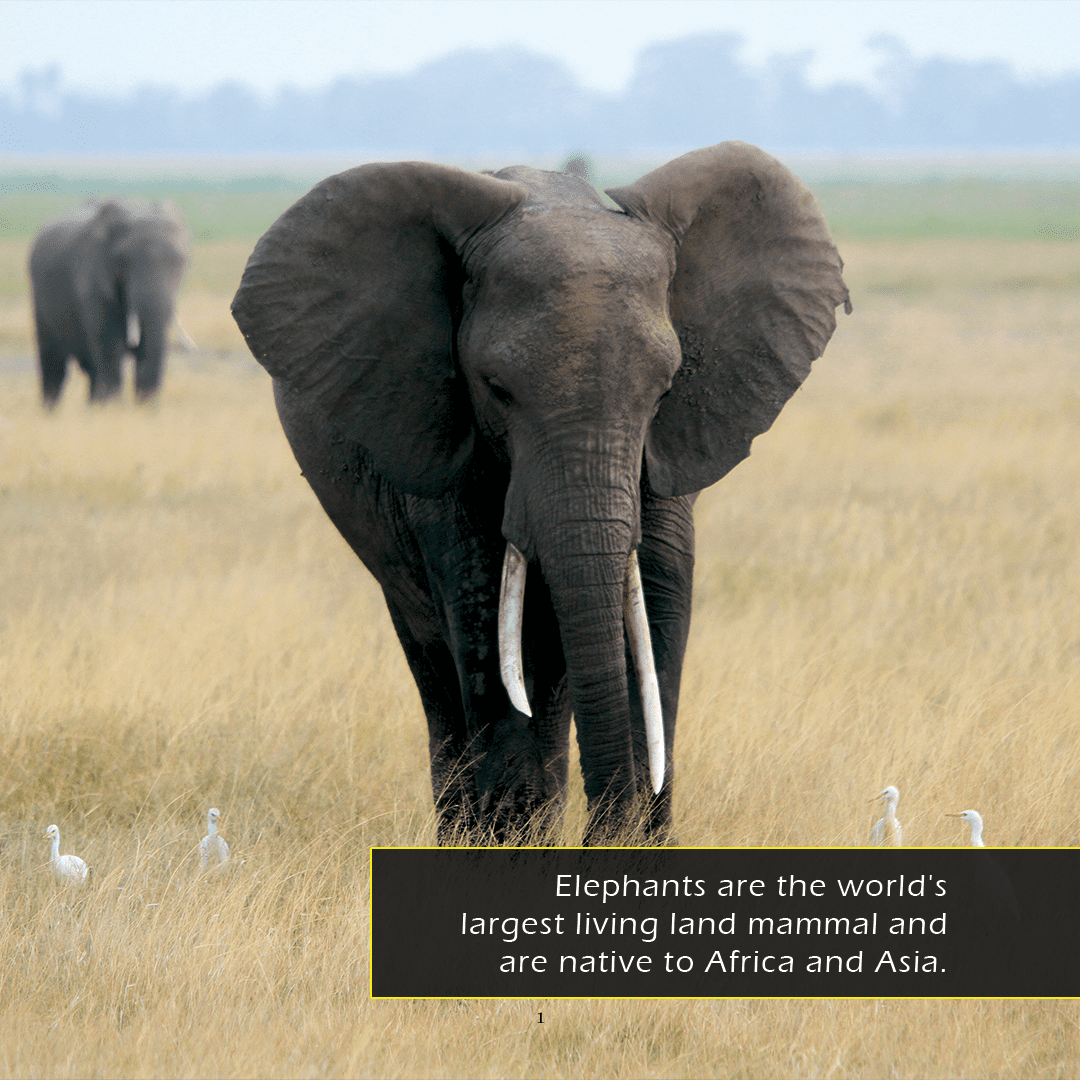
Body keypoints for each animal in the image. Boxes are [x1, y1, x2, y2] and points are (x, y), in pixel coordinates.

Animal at [28, 199, 189, 405]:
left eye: (180, 261)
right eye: (123, 261)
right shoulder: (93, 280)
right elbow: (110, 348)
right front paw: (113, 408)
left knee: (91, 371)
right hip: (39, 303)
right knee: (54, 365)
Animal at [232, 141, 850, 845]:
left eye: (664, 389)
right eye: (496, 389)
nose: (607, 832)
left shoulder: (670, 448)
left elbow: (660, 605)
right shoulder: (443, 446)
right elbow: (485, 619)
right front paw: (510, 843)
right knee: (441, 662)